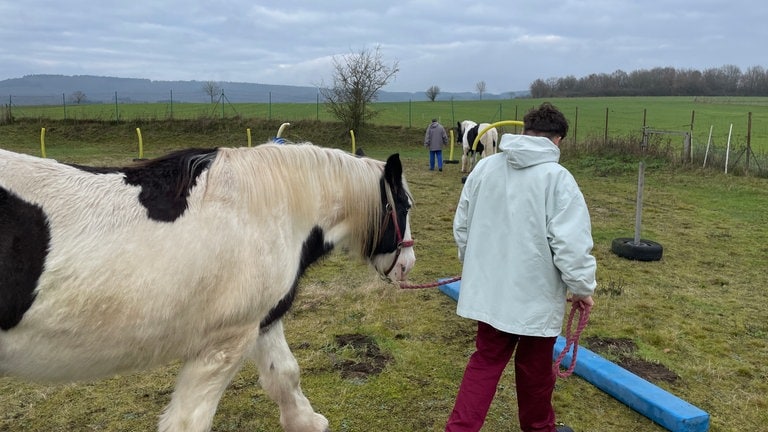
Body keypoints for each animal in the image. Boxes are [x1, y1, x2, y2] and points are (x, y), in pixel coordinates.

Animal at [0, 143, 414, 430]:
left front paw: (306, 422)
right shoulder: (223, 344)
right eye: (405, 205)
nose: (408, 265)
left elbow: (285, 374)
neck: (268, 212)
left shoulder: (263, 320)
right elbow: (188, 421)